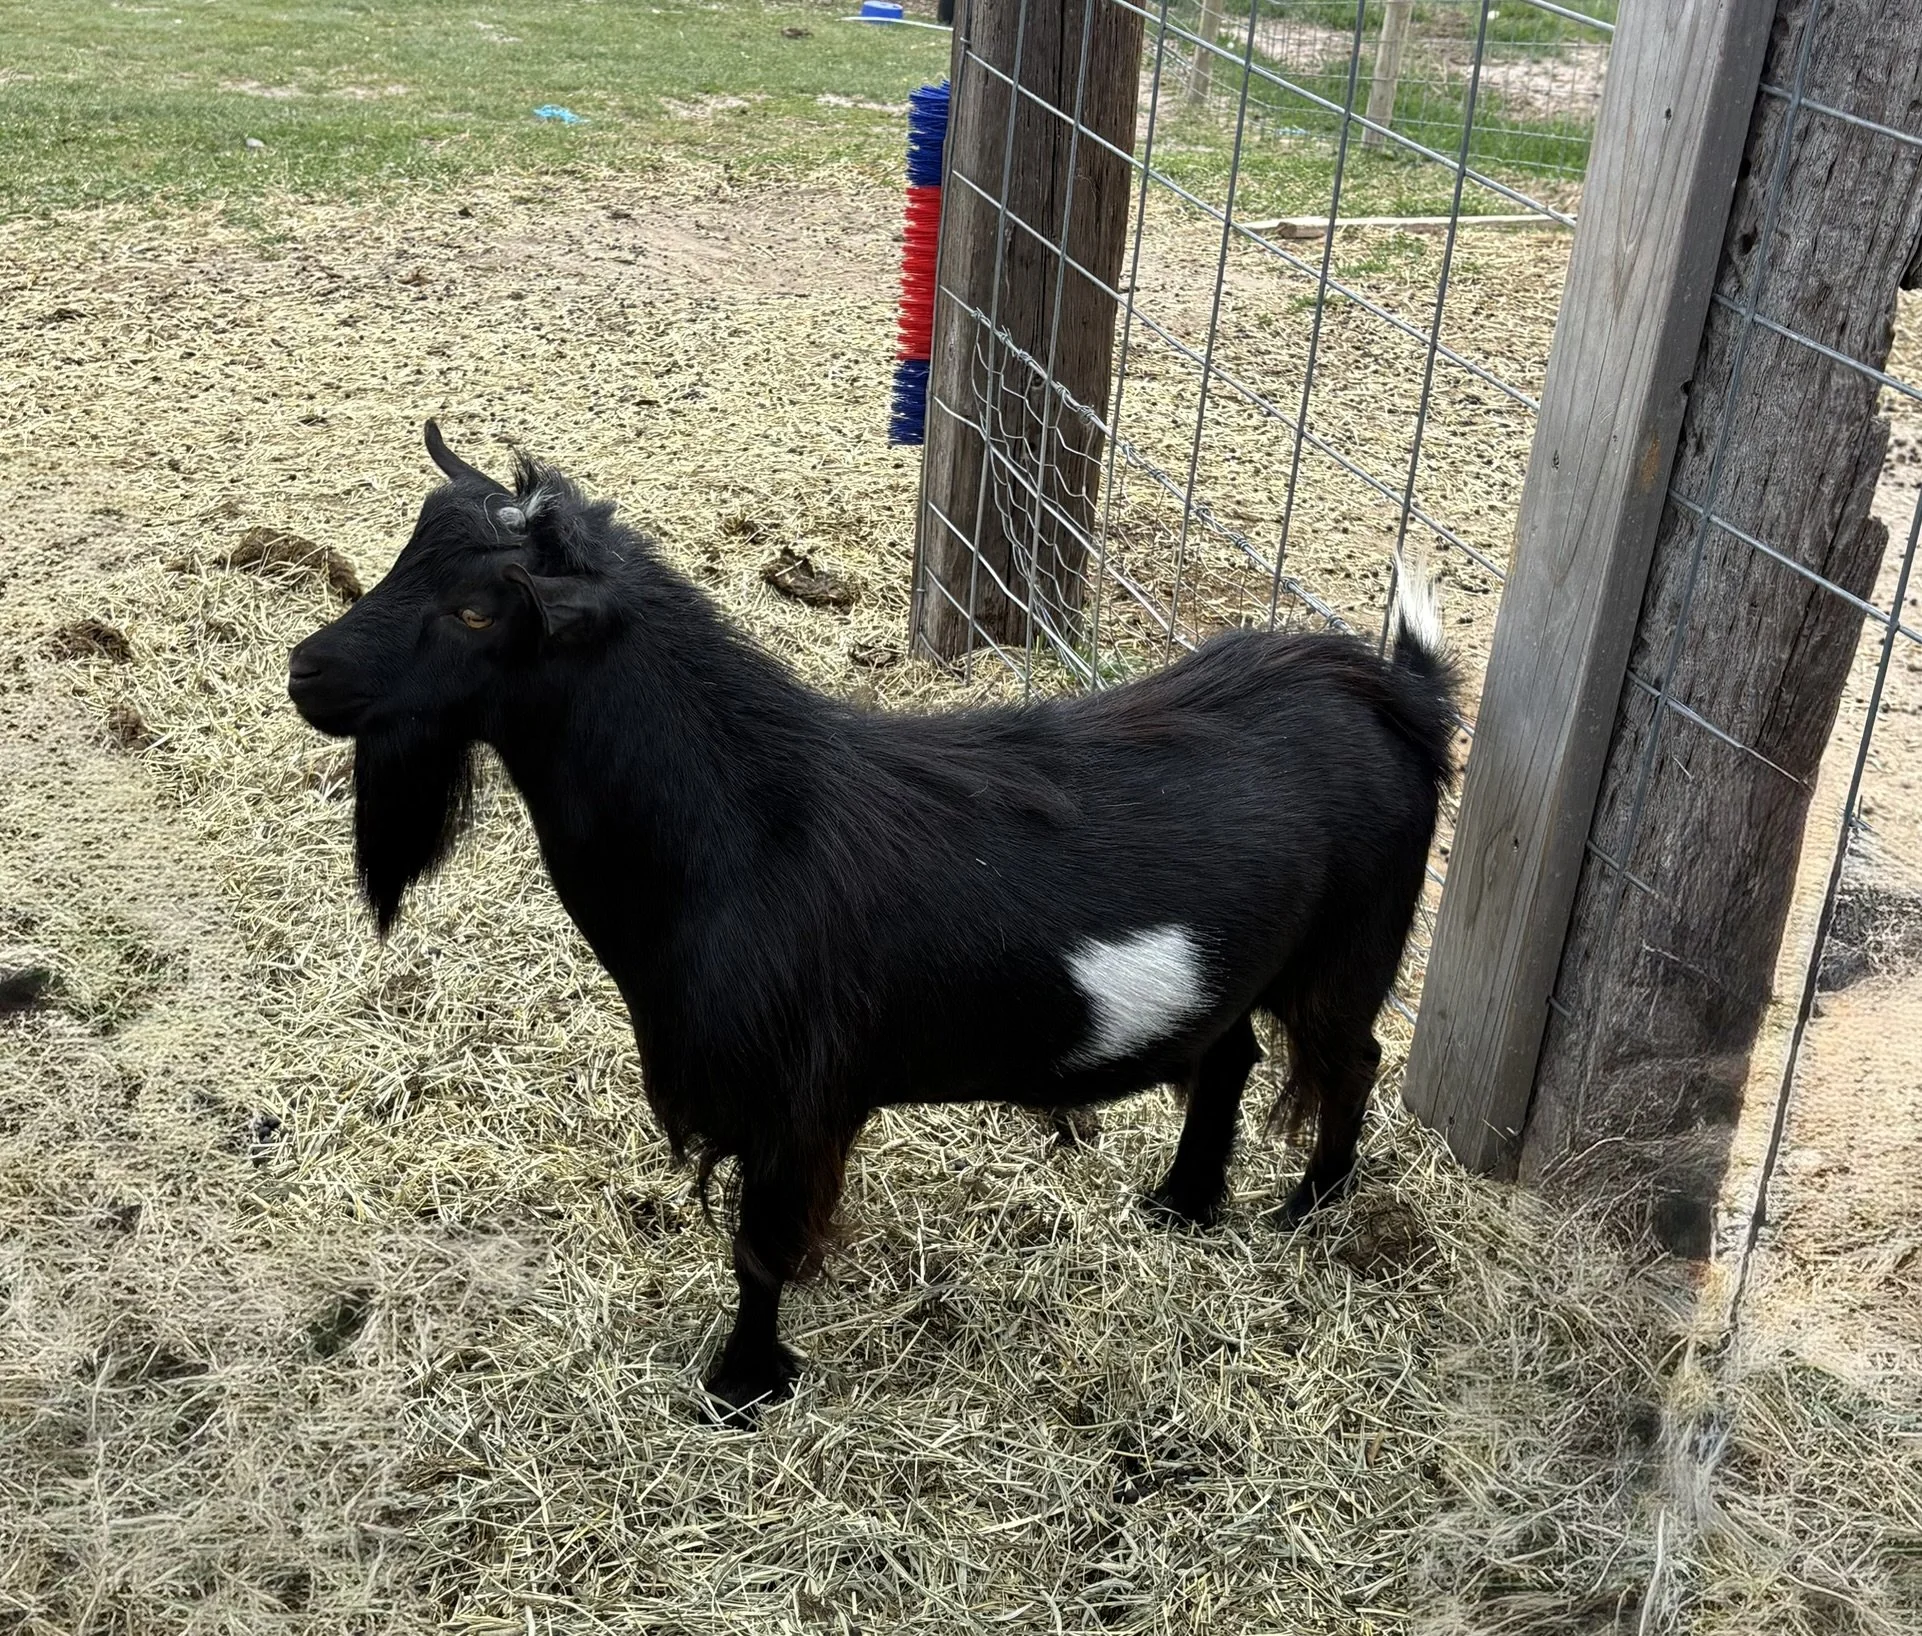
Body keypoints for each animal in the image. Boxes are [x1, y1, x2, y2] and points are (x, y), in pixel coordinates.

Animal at [288, 424, 1459, 1419]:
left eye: (480, 611)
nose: (307, 671)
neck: (745, 827)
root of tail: (1393, 692)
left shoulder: (792, 1096)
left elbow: (760, 1247)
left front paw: (742, 1388)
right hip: (1234, 969)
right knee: (1227, 1057)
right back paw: (1181, 1203)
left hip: (1351, 946)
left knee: (1347, 1059)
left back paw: (1310, 1207)